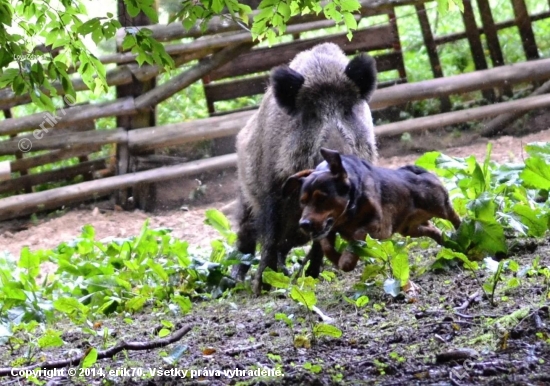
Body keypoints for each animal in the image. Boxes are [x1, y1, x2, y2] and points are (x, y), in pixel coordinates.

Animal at [282, 148, 464, 272]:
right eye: (302, 201)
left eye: (322, 198)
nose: (304, 224)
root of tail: (418, 170)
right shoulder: (328, 228)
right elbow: (327, 247)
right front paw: (337, 258)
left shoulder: (378, 225)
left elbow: (357, 236)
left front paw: (346, 261)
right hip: (410, 229)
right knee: (432, 229)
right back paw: (448, 242)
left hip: (439, 205)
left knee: (453, 215)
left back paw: (461, 230)